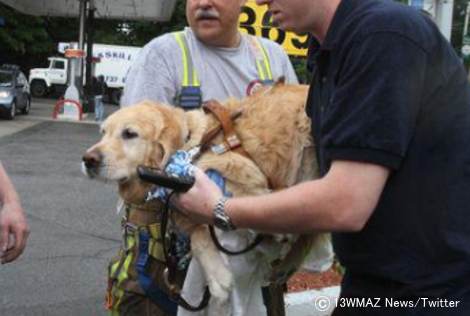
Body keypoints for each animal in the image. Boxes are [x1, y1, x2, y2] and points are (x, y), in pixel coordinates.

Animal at [81, 81, 326, 314]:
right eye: (103, 132)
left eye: (129, 133)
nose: (88, 159)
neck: (189, 145)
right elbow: (198, 235)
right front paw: (217, 276)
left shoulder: (239, 169)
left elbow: (252, 196)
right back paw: (284, 267)